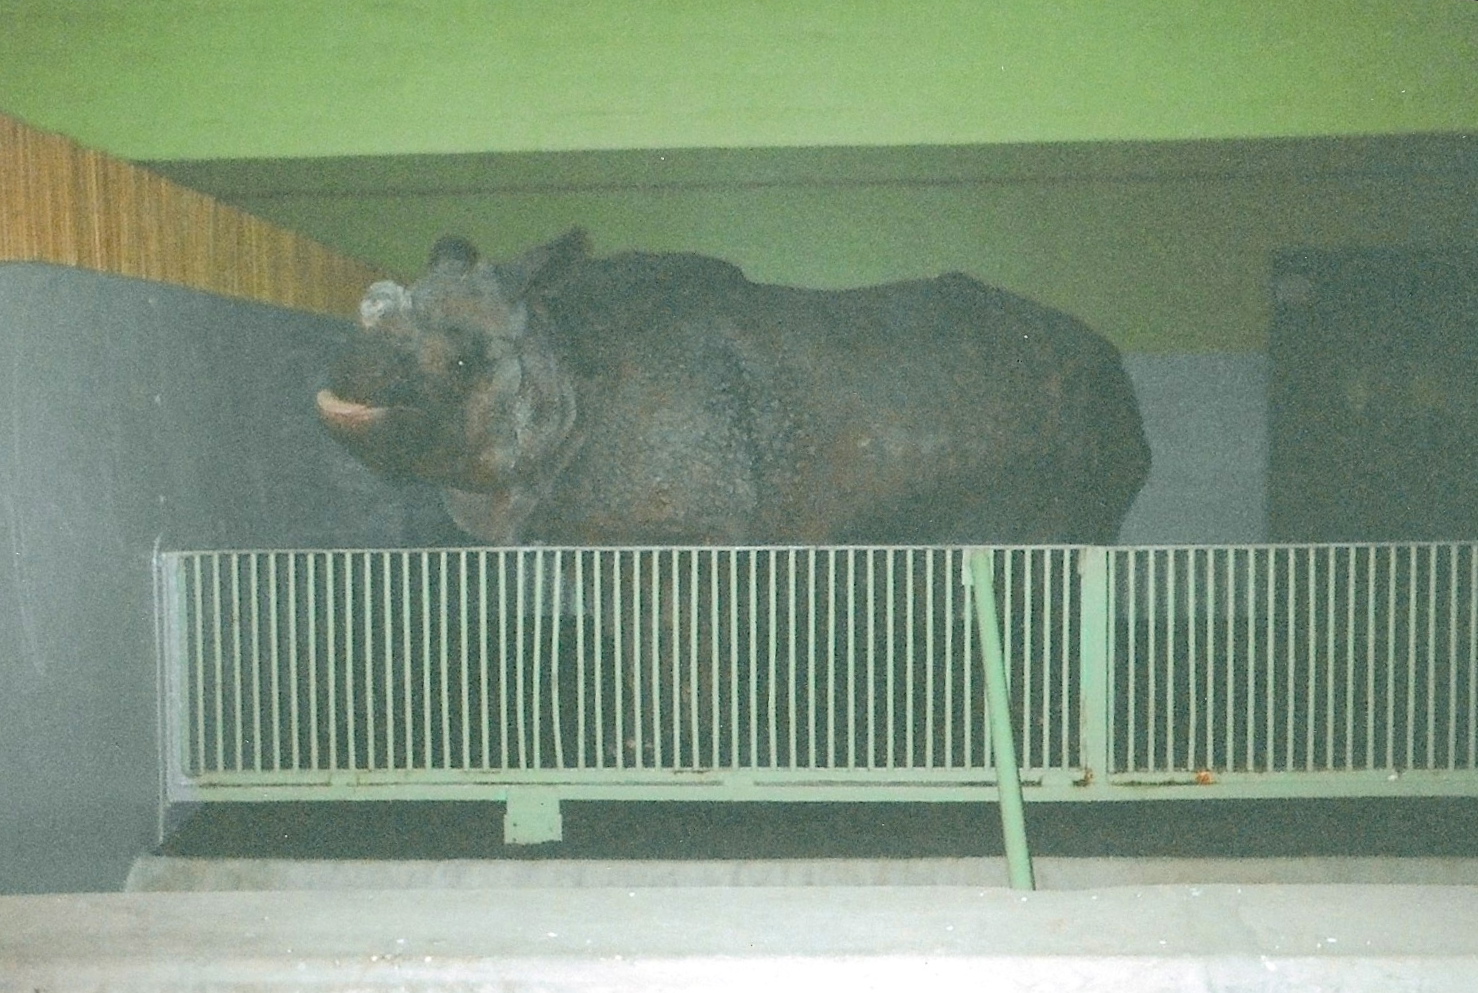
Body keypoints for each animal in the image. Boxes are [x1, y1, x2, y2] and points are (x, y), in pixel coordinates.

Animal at [316, 230, 1149, 548]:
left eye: (461, 366)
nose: (340, 379)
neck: (558, 352)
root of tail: (1119, 372)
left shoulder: (680, 529)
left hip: (1079, 422)